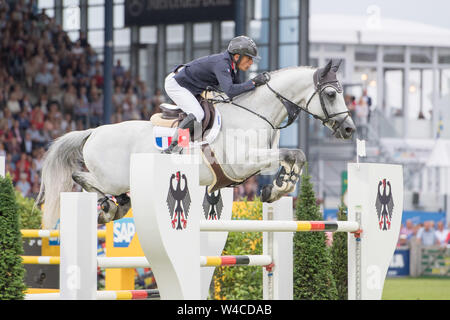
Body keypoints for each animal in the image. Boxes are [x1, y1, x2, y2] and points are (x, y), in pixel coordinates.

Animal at [37, 58, 356, 229]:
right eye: (330, 94)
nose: (350, 129)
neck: (256, 111)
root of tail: (94, 132)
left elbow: (296, 156)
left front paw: (276, 187)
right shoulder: (242, 163)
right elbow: (292, 153)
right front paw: (279, 187)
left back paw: (118, 206)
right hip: (111, 177)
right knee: (83, 178)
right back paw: (110, 208)